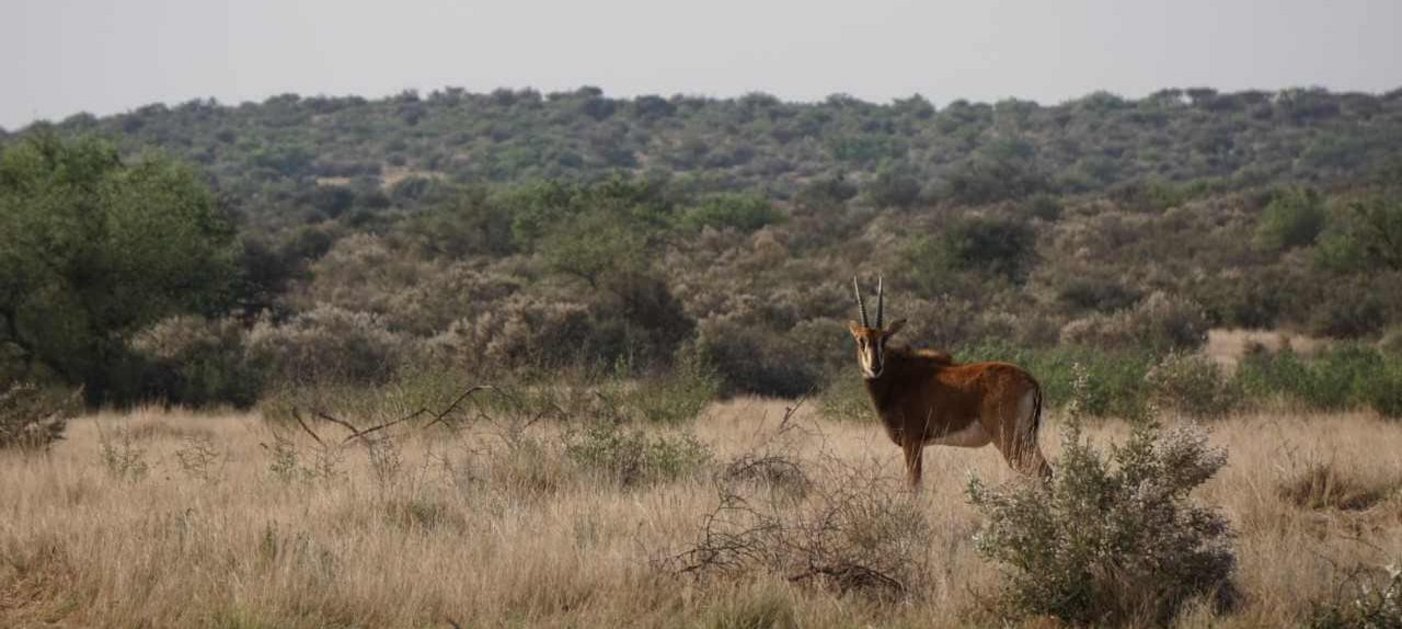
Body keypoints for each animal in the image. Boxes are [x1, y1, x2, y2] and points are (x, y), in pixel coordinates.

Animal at [841, 274, 1054, 484]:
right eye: (861, 341)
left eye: (883, 340)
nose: (875, 368)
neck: (898, 377)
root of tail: (1031, 381)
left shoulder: (912, 441)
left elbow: (914, 485)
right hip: (1028, 437)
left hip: (1010, 439)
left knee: (1042, 471)